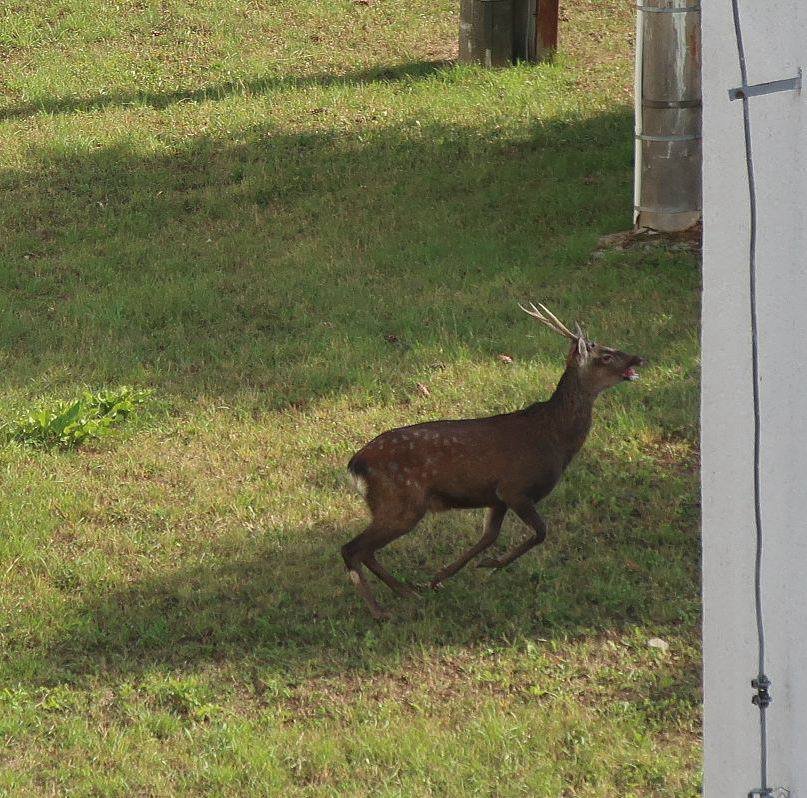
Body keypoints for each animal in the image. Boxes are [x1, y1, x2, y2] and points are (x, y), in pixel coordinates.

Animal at [344, 304, 648, 620]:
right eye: (605, 355)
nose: (639, 358)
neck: (555, 439)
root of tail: (354, 465)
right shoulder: (515, 487)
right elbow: (541, 532)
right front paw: (492, 565)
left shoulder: (496, 496)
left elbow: (488, 537)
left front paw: (441, 577)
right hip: (401, 500)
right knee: (352, 549)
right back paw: (379, 610)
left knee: (364, 551)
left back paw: (407, 592)